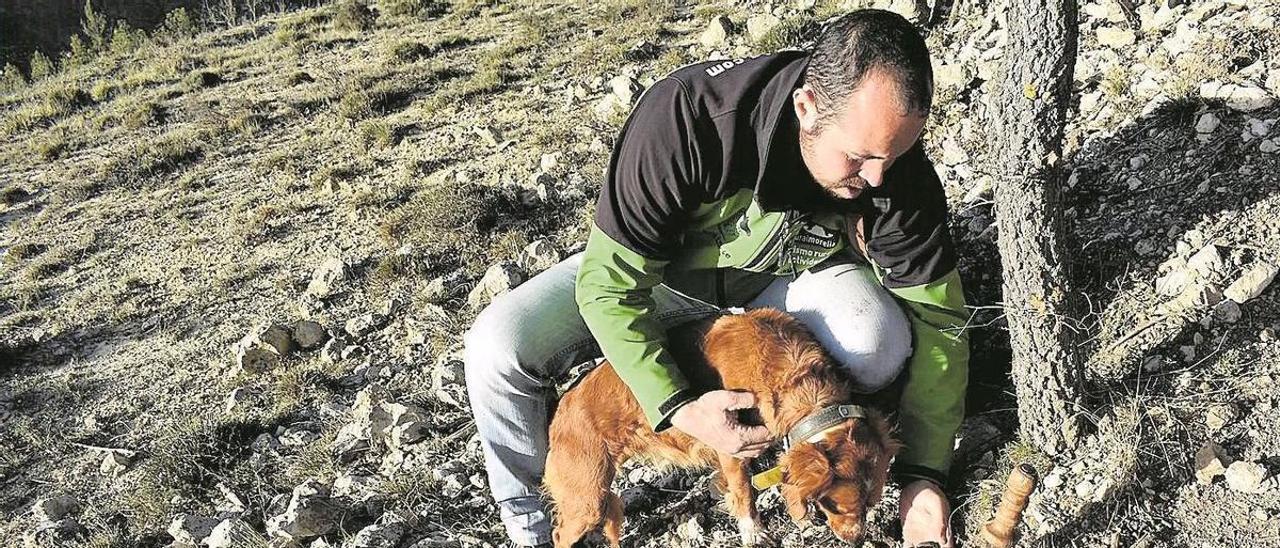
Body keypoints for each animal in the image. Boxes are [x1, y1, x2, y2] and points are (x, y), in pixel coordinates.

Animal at [545, 308, 896, 548]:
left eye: (870, 504)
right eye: (835, 505)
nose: (856, 540)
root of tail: (562, 408)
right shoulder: (731, 443)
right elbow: (743, 492)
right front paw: (754, 533)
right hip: (587, 498)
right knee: (559, 533)